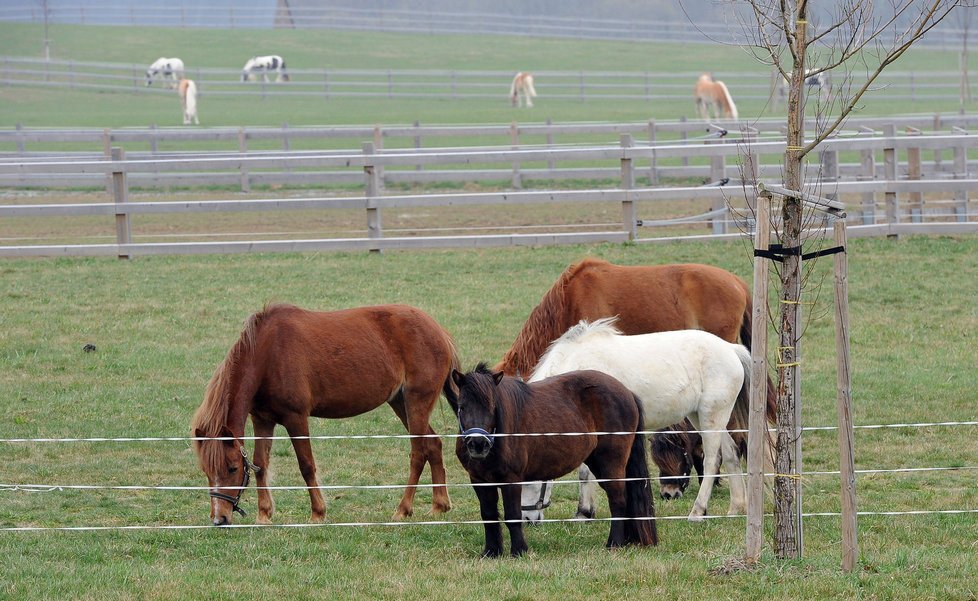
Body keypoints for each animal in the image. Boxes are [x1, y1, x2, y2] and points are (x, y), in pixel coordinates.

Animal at [194, 302, 462, 524]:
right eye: (207, 471)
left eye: (232, 468)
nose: (220, 519)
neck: (268, 353)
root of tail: (439, 331)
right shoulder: (262, 420)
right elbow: (261, 463)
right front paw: (264, 515)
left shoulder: (296, 418)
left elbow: (306, 465)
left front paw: (317, 513)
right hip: (401, 403)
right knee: (433, 444)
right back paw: (439, 505)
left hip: (416, 402)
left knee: (418, 452)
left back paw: (403, 509)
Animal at [450, 364, 656, 556]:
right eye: (461, 407)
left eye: (492, 407)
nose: (478, 444)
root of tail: (627, 392)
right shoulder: (480, 481)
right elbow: (489, 515)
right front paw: (491, 552)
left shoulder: (511, 480)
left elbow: (512, 515)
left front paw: (519, 551)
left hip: (611, 463)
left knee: (618, 500)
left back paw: (614, 543)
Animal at [528, 318, 756, 520]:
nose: (529, 519)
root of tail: (731, 349)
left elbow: (586, 473)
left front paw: (584, 513)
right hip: (701, 417)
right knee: (730, 454)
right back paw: (736, 508)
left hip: (711, 416)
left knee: (711, 461)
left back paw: (697, 512)